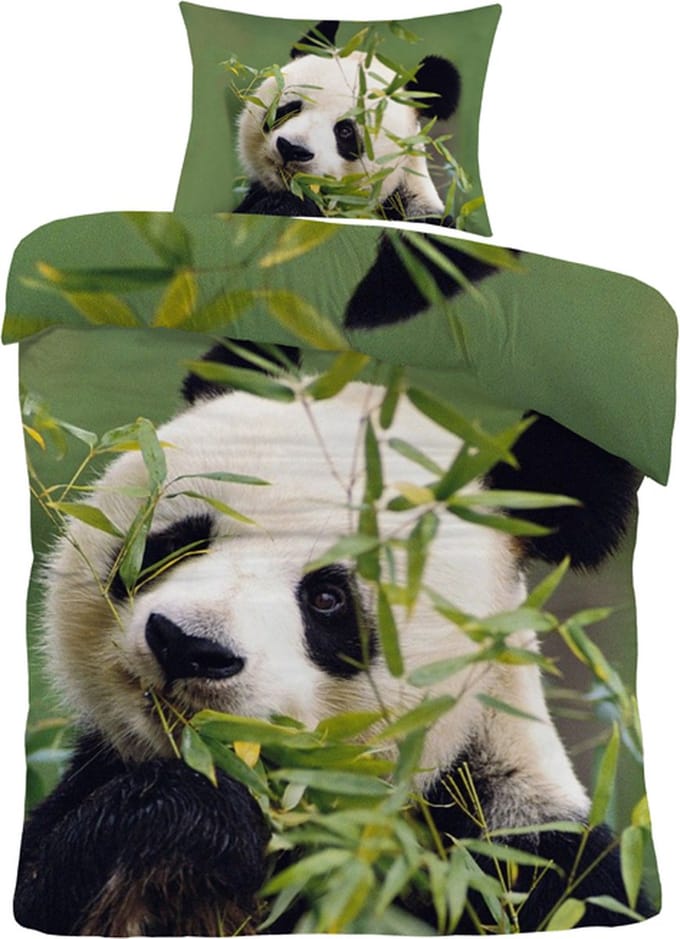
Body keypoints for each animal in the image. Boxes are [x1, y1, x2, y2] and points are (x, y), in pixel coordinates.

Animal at [14, 343, 650, 935]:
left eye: (327, 598)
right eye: (181, 540)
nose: (186, 645)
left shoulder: (519, 853)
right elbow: (53, 876)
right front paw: (186, 816)